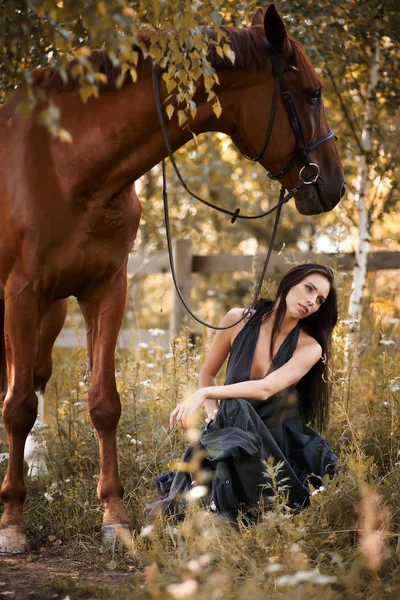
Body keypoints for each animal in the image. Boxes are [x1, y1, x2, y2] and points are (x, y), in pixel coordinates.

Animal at [0, 4, 344, 552]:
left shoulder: (105, 289)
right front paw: (12, 520)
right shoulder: (22, 291)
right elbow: (16, 408)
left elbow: (103, 403)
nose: (334, 185)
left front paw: (115, 519)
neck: (64, 162)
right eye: (311, 93)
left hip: (51, 309)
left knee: (33, 375)